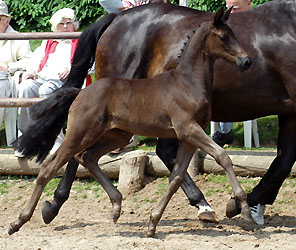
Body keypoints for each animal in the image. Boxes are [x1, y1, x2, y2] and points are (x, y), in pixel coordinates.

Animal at [15, 0, 296, 225]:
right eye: (224, 37)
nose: (246, 61)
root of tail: (116, 18)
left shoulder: (286, 112)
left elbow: (282, 160)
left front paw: (249, 204)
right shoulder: (190, 128)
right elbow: (231, 158)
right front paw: (243, 205)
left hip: (119, 130)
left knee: (90, 155)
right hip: (100, 123)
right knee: (70, 157)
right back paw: (47, 208)